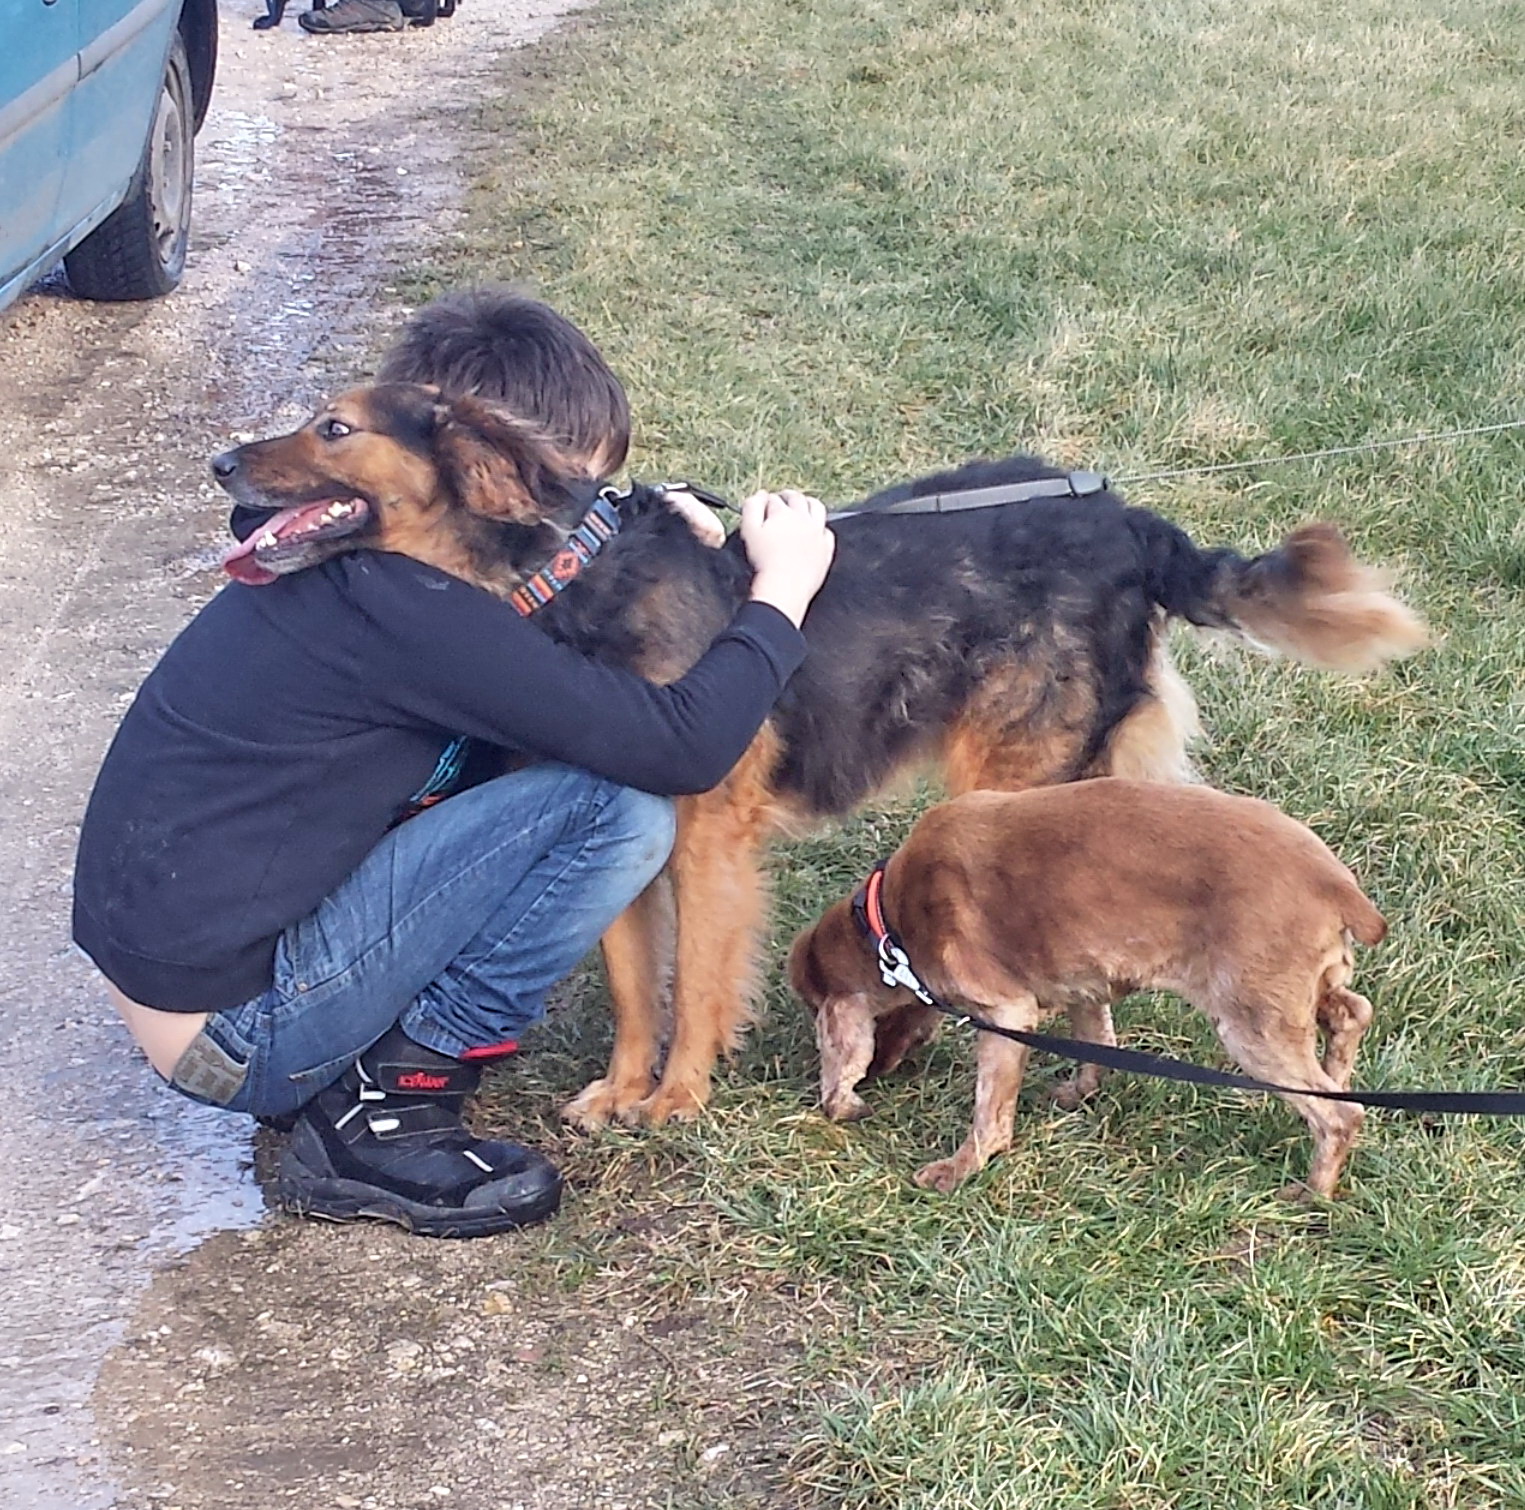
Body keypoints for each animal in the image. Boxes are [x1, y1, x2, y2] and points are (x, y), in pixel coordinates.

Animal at [209, 383, 1424, 1130]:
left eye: (333, 427)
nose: (219, 460)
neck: (564, 579)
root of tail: (1133, 520)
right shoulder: (625, 845)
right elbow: (635, 991)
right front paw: (620, 1091)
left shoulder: (708, 846)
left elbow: (698, 982)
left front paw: (678, 1101)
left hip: (1008, 778)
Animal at [788, 780, 1386, 1198]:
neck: (889, 918)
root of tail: (1335, 882)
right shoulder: (1083, 982)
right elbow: (1097, 1040)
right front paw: (1080, 1093)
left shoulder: (1007, 1012)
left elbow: (990, 1110)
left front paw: (959, 1169)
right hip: (1297, 992)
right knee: (1353, 1013)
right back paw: (1337, 1079)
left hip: (1251, 1021)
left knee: (1340, 1117)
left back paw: (1311, 1193)